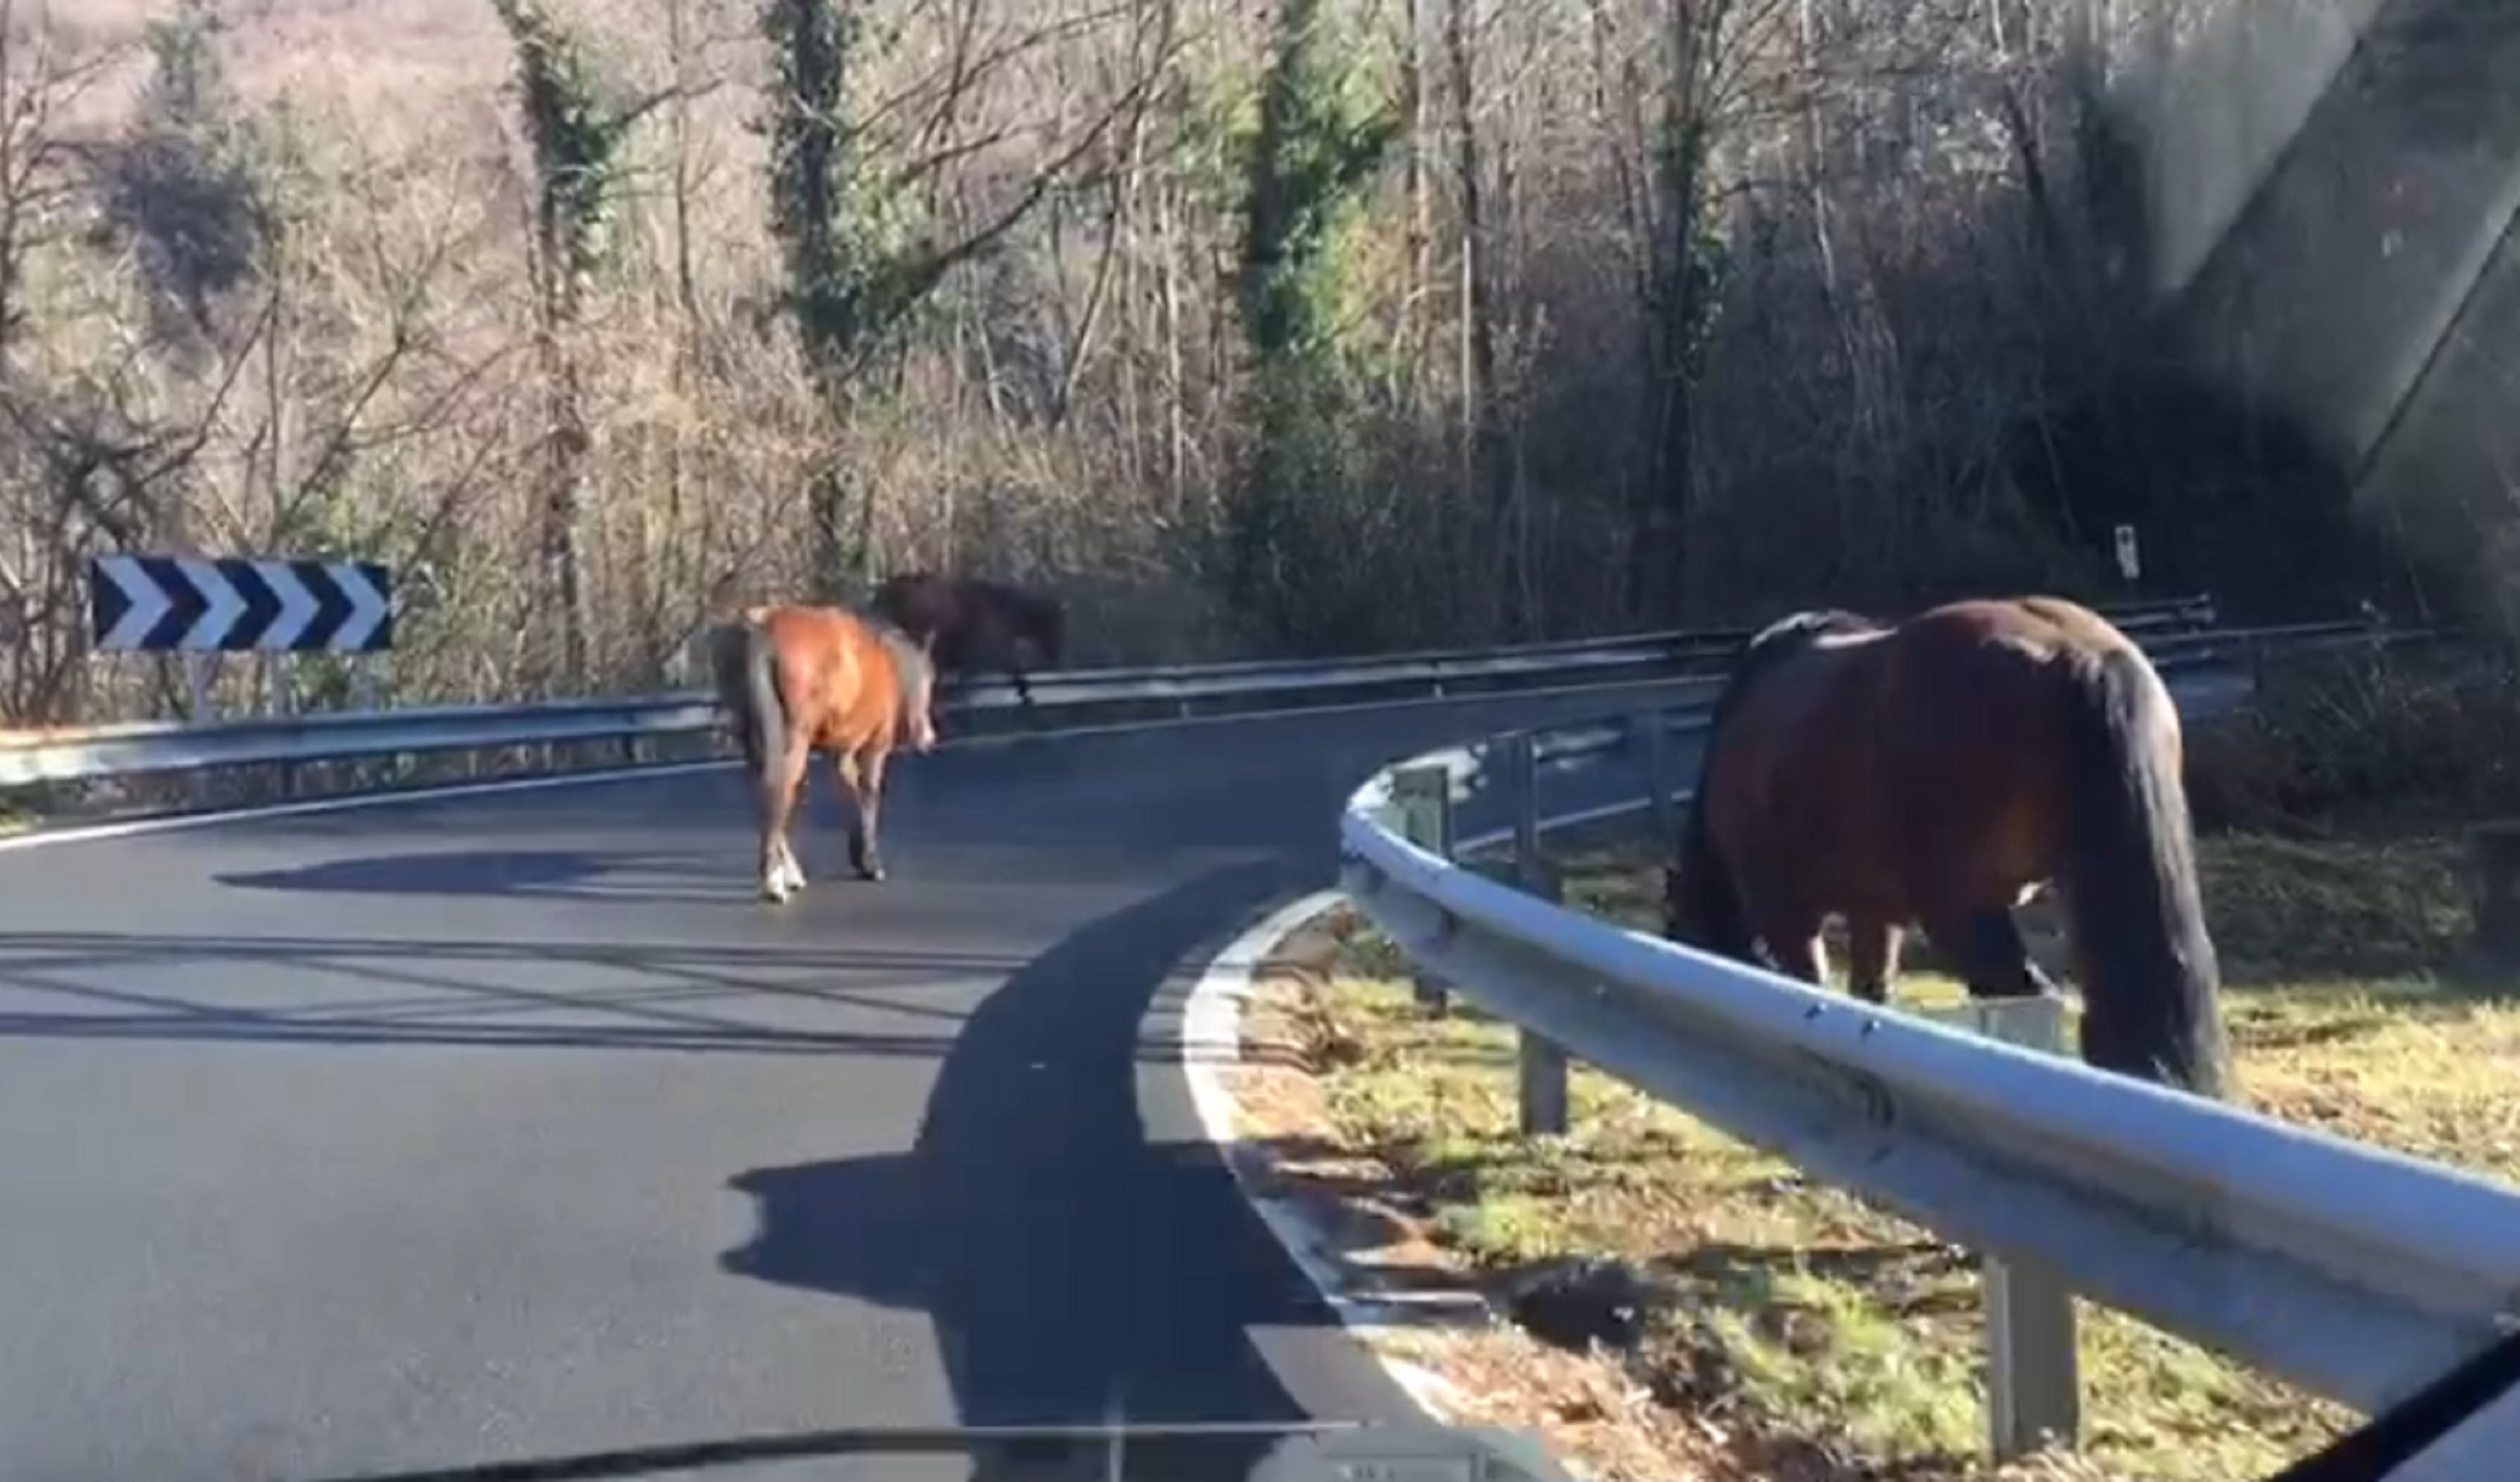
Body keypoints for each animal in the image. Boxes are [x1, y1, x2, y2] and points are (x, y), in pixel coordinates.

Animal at [705, 602, 942, 902]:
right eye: (929, 679)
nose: (928, 738)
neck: (888, 664)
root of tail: (763, 634)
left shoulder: (840, 752)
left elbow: (850, 791)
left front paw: (859, 857)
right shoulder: (875, 747)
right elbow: (868, 794)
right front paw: (871, 863)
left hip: (753, 735)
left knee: (768, 789)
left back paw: (788, 872)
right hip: (794, 737)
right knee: (780, 787)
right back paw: (775, 881)